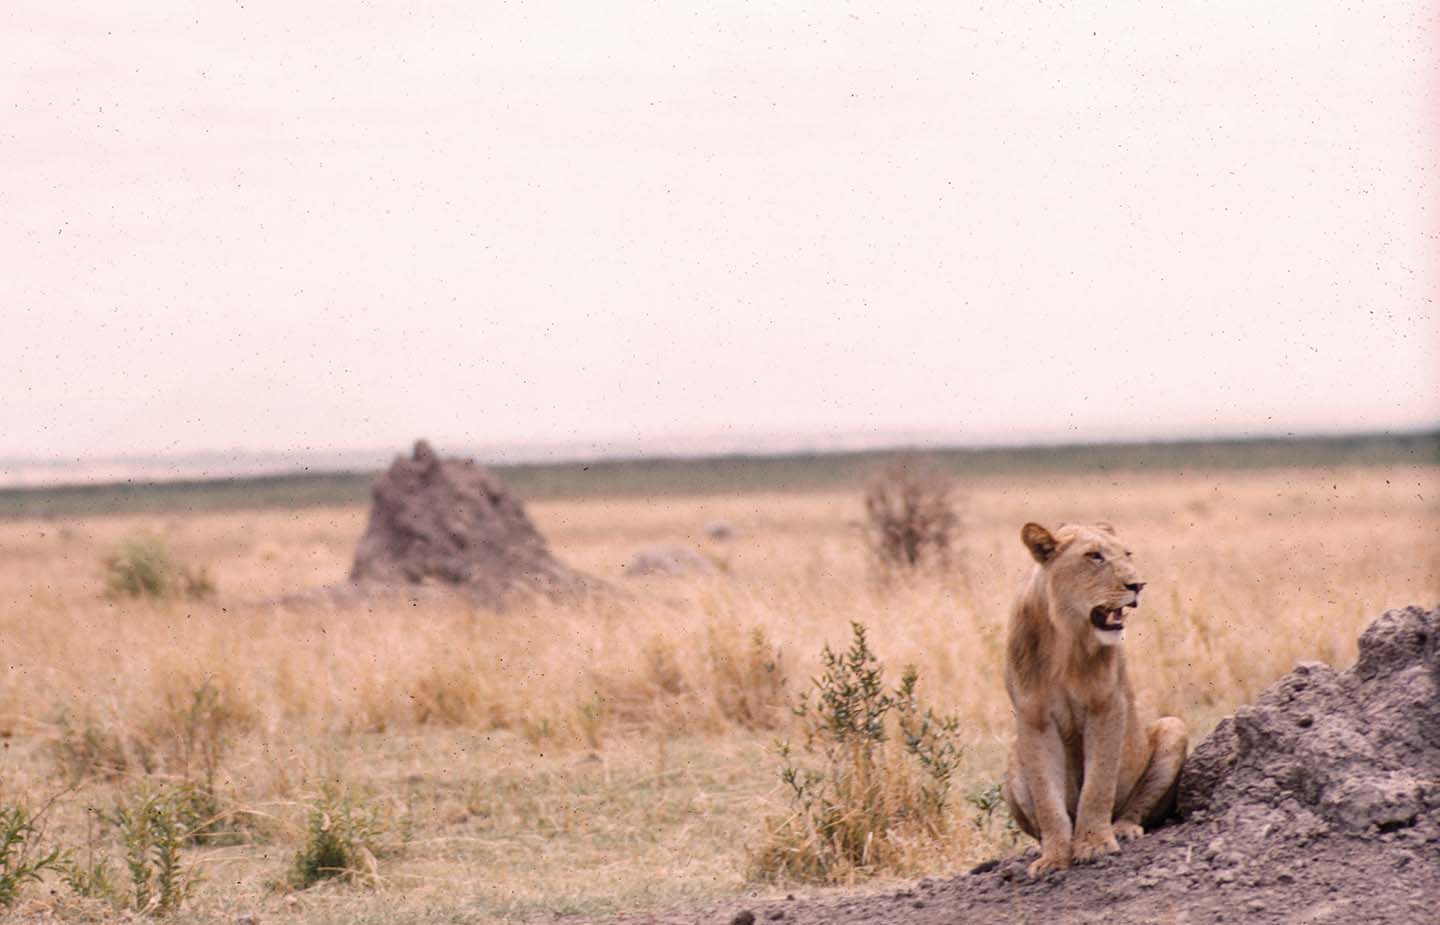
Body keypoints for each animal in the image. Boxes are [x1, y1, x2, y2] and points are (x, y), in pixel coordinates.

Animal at [1002, 521, 1192, 876]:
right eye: (1094, 556)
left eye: (1127, 554)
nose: (1137, 585)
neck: (1065, 639)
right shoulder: (1034, 719)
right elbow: (1047, 798)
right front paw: (1054, 857)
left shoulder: (1107, 705)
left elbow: (1098, 784)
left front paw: (1095, 844)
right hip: (1012, 755)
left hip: (1173, 727)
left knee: (1134, 808)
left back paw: (1124, 830)